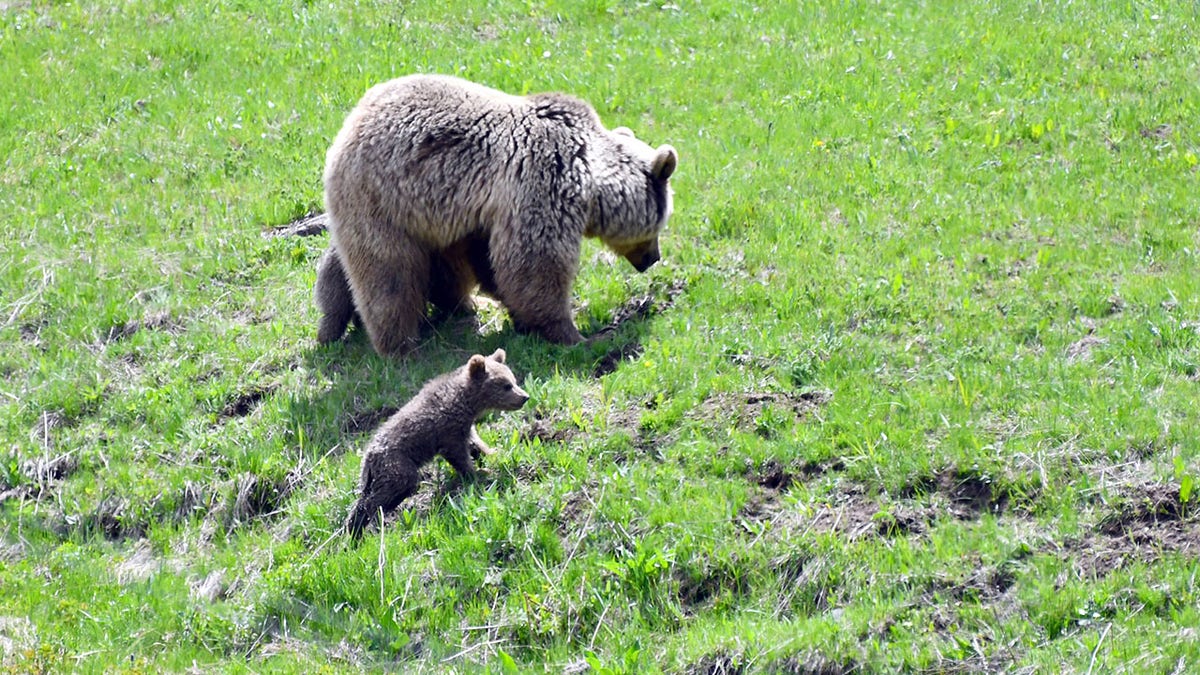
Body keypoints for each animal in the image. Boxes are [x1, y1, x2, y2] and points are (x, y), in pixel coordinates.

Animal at [316, 74, 678, 356]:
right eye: (659, 225)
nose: (654, 258)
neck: (589, 177)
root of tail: (347, 128)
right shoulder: (542, 179)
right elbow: (536, 264)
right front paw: (578, 335)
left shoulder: (481, 216)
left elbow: (494, 263)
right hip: (385, 200)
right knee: (387, 274)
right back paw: (400, 344)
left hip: (426, 214)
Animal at [343, 348, 529, 539]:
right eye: (506, 385)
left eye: (513, 380)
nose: (524, 397)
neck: (466, 402)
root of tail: (368, 457)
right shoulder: (448, 429)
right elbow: (458, 454)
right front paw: (477, 473)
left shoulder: (463, 425)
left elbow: (474, 442)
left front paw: (492, 453)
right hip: (396, 463)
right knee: (389, 491)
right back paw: (364, 523)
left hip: (375, 475)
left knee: (365, 497)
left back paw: (353, 528)